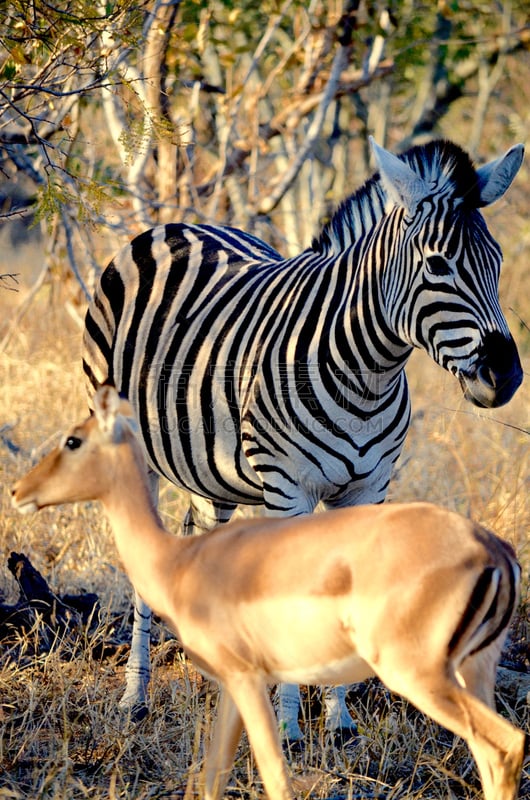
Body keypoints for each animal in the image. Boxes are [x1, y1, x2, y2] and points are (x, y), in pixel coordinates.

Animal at [12, 384, 524, 796]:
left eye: (73, 440)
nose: (18, 490)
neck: (180, 559)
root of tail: (495, 551)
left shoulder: (246, 677)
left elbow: (274, 772)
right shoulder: (232, 687)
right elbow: (215, 774)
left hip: (419, 674)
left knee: (503, 745)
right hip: (473, 672)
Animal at [81, 138, 520, 744]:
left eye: (497, 263)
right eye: (437, 265)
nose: (505, 376)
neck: (367, 370)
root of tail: (173, 225)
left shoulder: (369, 490)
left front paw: (339, 721)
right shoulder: (287, 488)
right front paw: (289, 728)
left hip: (210, 470)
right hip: (128, 442)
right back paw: (135, 697)